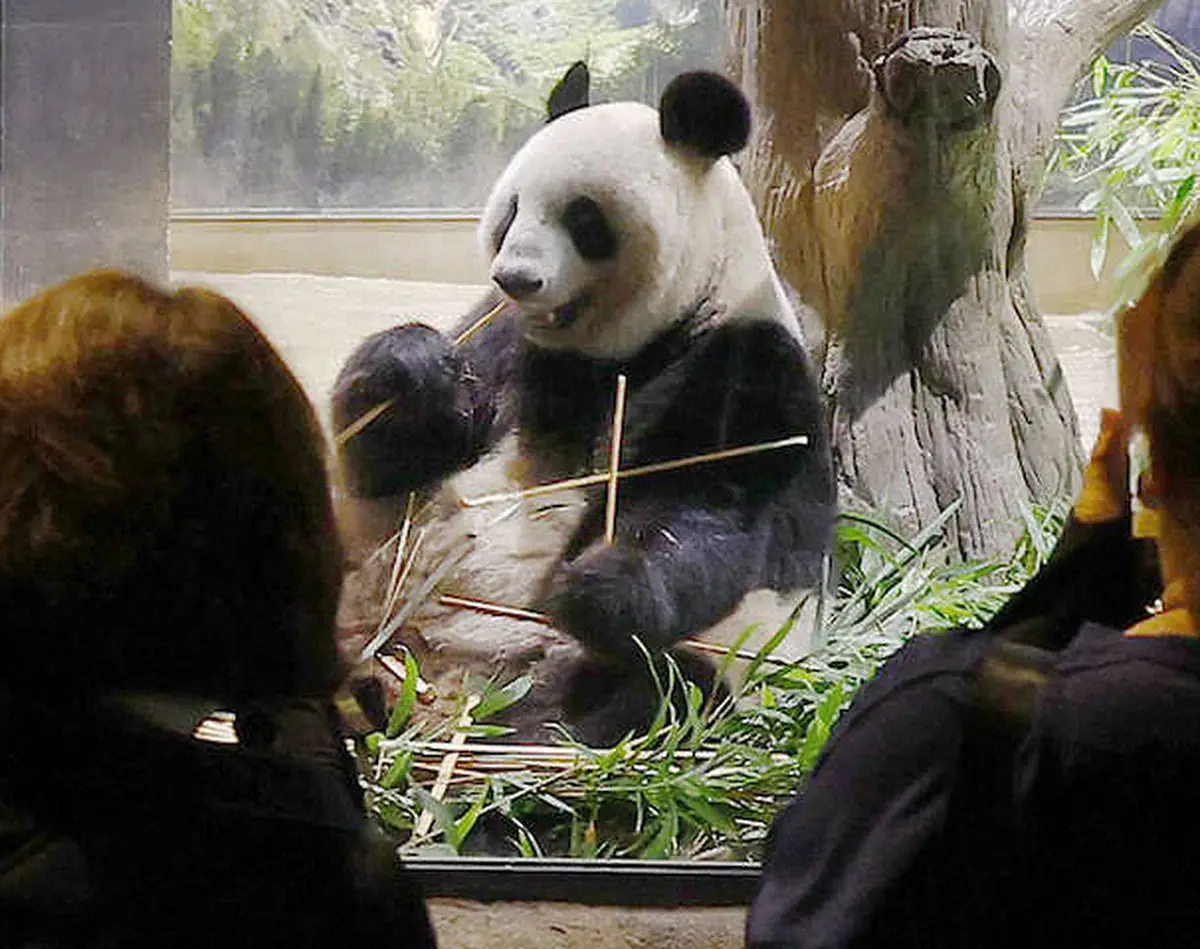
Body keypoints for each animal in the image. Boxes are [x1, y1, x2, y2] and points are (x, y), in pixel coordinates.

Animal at [331, 61, 835, 748]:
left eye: (583, 219)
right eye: (513, 209)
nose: (516, 277)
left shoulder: (746, 362)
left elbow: (709, 506)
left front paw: (597, 586)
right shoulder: (509, 342)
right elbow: (394, 456)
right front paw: (411, 366)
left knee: (658, 687)